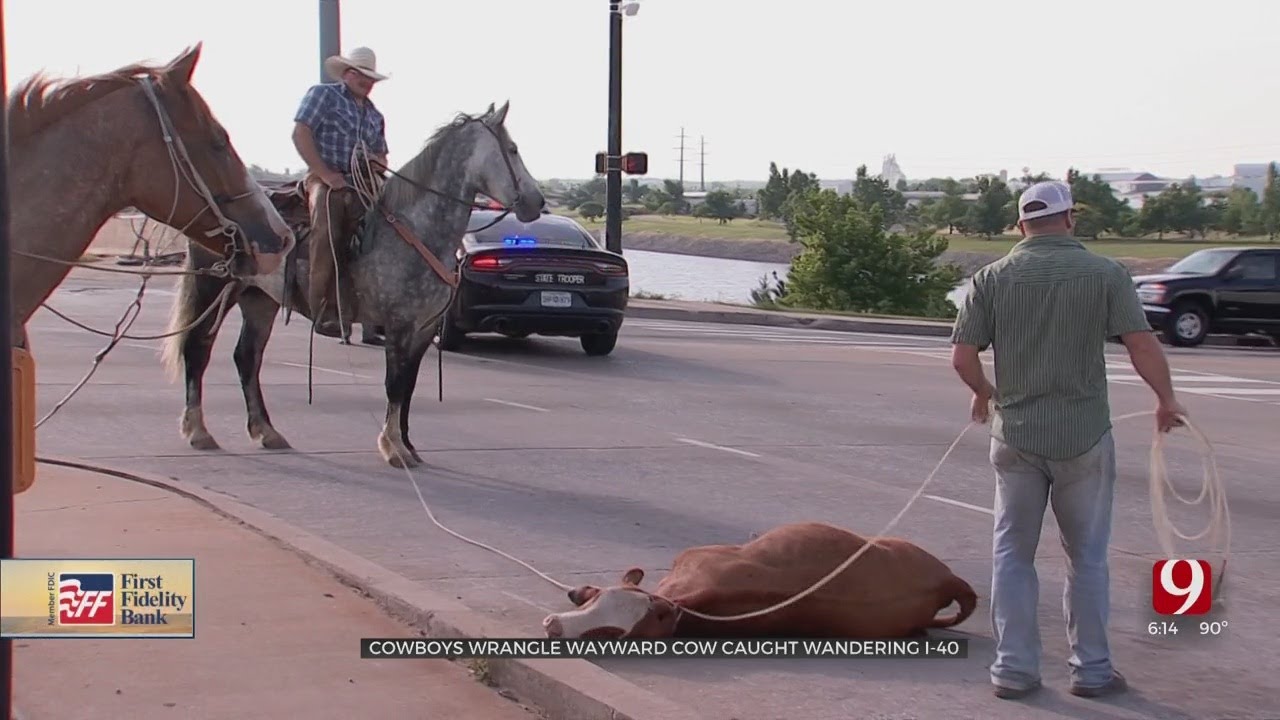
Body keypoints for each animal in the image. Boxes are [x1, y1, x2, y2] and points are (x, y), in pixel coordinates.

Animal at [160, 103, 545, 468]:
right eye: (512, 149)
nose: (537, 202)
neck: (417, 231)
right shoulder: (399, 324)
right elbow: (394, 384)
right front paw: (393, 448)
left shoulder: (424, 328)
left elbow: (409, 384)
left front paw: (408, 445)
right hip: (214, 287)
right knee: (197, 349)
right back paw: (198, 430)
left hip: (259, 300)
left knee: (246, 357)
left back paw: (266, 431)